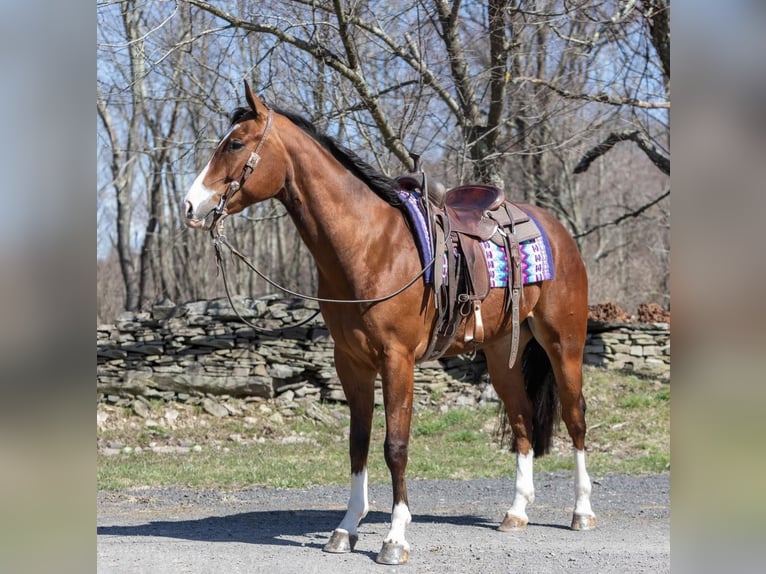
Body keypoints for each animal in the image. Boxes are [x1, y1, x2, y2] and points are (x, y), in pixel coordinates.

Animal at [183, 82, 596, 568]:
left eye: (235, 144)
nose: (191, 205)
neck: (369, 244)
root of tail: (554, 229)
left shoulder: (398, 360)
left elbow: (395, 446)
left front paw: (395, 538)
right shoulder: (351, 362)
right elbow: (358, 443)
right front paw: (346, 528)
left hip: (563, 343)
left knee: (575, 417)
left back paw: (582, 512)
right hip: (500, 354)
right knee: (522, 420)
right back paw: (516, 513)